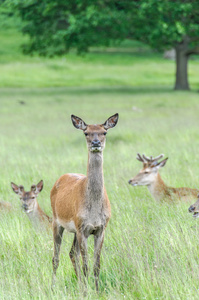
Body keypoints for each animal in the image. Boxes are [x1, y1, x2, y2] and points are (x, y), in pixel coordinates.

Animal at [50, 112, 119, 290]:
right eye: (86, 132)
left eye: (104, 132)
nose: (95, 143)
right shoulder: (82, 228)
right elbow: (86, 265)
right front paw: (87, 292)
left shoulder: (100, 228)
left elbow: (96, 265)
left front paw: (96, 290)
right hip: (56, 221)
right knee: (56, 257)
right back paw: (53, 287)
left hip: (74, 230)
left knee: (72, 253)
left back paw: (79, 283)